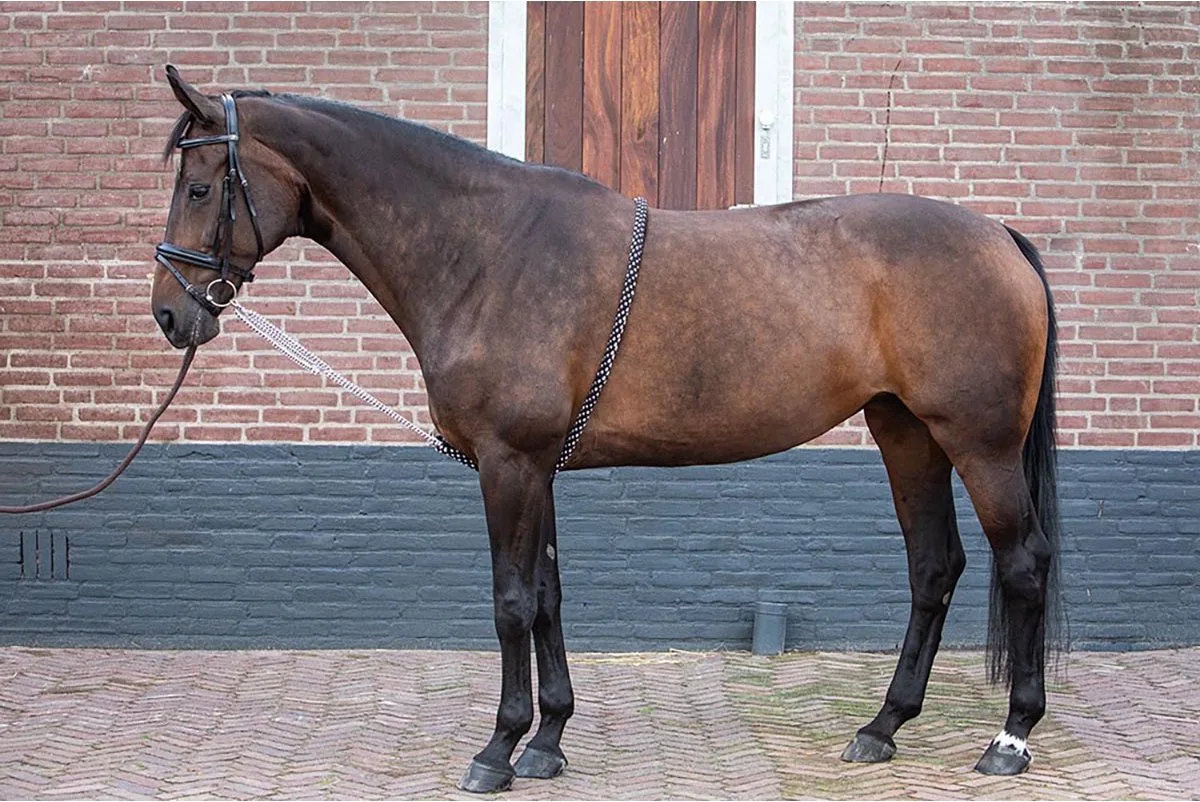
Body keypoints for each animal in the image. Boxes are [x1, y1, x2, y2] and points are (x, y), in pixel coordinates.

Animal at [151, 66, 1061, 792]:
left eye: (199, 187)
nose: (169, 314)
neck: (487, 251)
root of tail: (998, 234)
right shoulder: (535, 464)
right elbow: (549, 596)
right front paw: (548, 741)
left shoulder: (508, 463)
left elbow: (511, 602)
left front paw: (497, 750)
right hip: (906, 434)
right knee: (934, 567)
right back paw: (881, 727)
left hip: (978, 445)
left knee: (1023, 564)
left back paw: (1010, 738)